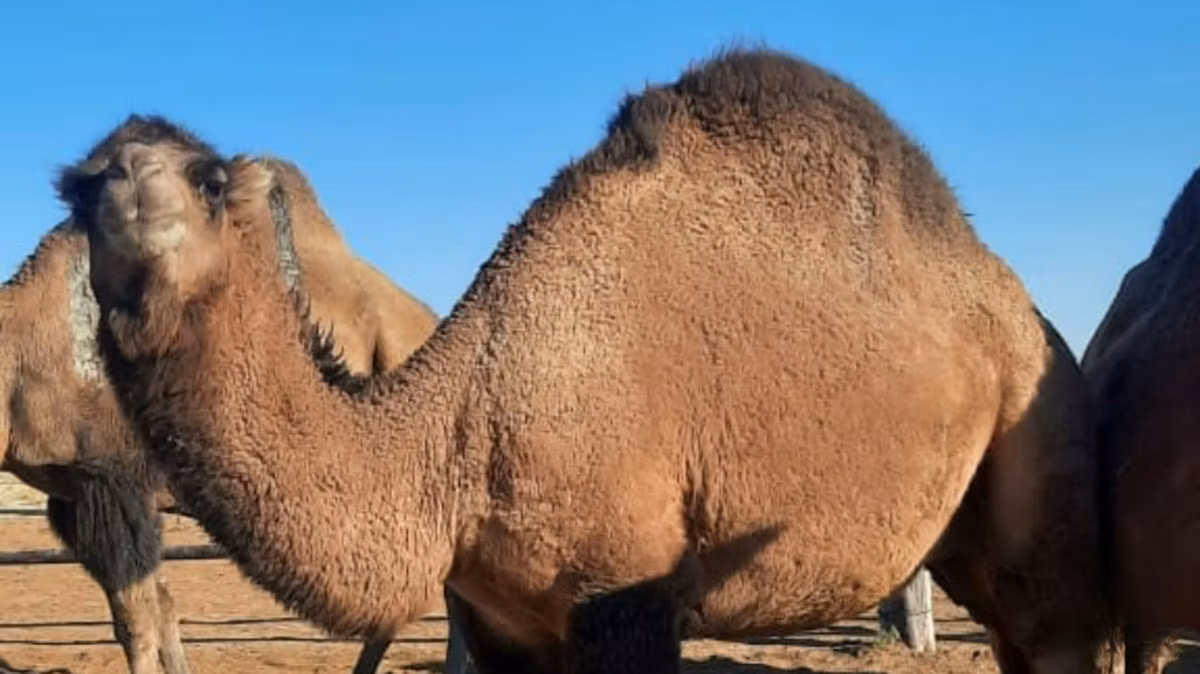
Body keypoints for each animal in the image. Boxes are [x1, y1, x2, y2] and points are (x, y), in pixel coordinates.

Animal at [68, 48, 1114, 673]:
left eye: (208, 178)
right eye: (74, 186)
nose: (119, 187)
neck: (453, 438)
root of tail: (1028, 312)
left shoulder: (627, 594)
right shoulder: (503, 620)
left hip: (1042, 426)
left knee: (1055, 621)